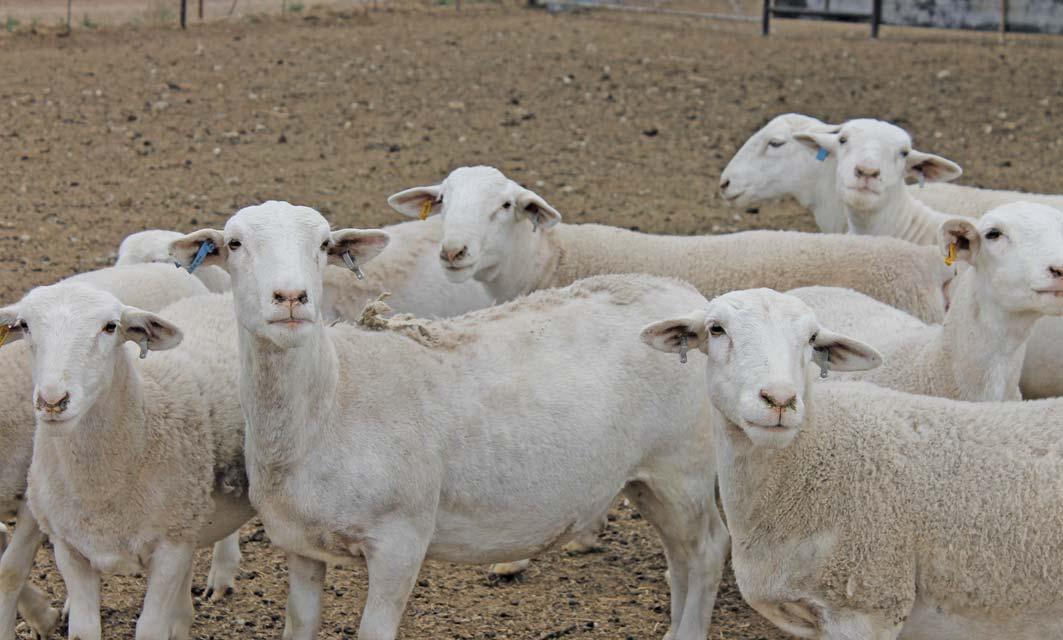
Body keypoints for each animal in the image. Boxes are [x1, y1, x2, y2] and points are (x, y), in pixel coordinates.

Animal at [0, 263, 243, 640]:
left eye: (110, 326)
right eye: (24, 325)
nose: (53, 401)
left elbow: (9, 571)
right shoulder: (64, 534)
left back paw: (221, 574)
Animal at [169, 201, 729, 640]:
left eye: (324, 244)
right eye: (235, 244)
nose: (291, 298)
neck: (331, 401)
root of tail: (686, 299)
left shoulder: (400, 540)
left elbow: (373, 630)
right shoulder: (301, 544)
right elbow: (299, 626)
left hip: (684, 466)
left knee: (706, 551)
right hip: (648, 479)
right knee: (680, 556)